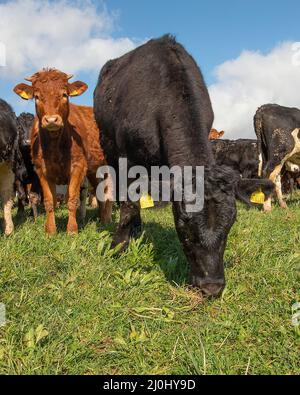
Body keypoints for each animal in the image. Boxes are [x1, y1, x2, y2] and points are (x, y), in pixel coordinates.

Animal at [13, 69, 112, 235]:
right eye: (37, 97)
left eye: (65, 94)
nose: (52, 120)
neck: (55, 145)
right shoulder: (41, 171)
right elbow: (48, 201)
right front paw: (50, 231)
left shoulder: (78, 167)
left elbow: (71, 199)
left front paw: (72, 230)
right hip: (93, 169)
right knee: (99, 193)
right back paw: (101, 218)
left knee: (107, 192)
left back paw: (106, 220)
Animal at [94, 36, 274, 296]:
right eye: (184, 224)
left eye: (231, 222)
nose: (212, 287)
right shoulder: (127, 156)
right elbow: (128, 204)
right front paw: (118, 246)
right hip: (107, 145)